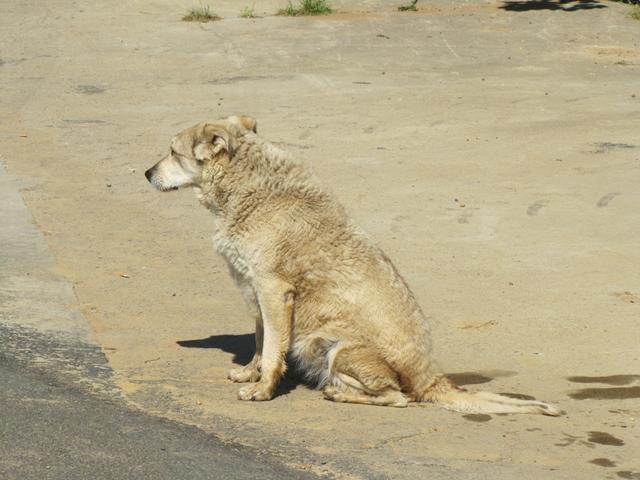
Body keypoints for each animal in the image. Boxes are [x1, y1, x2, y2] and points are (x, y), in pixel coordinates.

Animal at [144, 116, 560, 416]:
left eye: (172, 151)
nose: (146, 173)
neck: (248, 185)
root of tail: (431, 379)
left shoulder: (273, 291)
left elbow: (274, 349)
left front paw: (262, 389)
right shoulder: (256, 290)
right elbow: (262, 342)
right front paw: (250, 372)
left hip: (340, 350)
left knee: (398, 398)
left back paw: (339, 395)